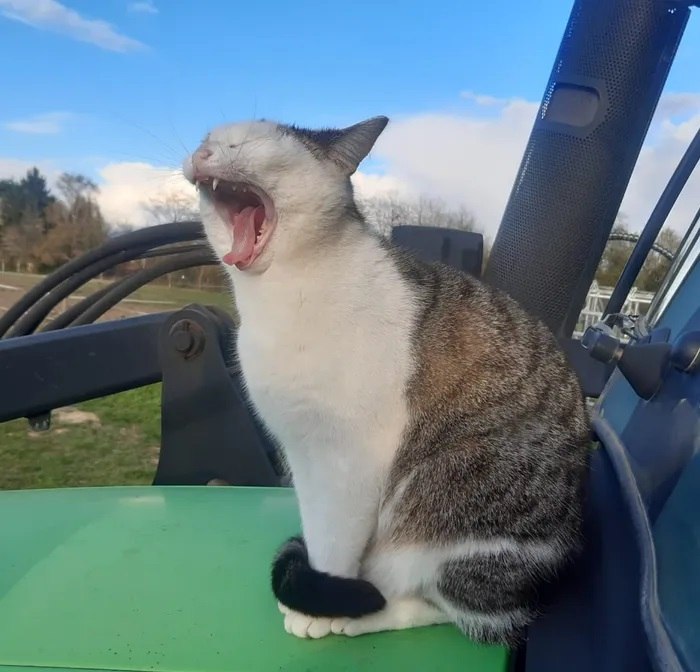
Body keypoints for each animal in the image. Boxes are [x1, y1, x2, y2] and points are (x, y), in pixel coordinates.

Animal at [182, 115, 592, 644]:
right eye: (206, 142)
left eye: (243, 144)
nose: (202, 155)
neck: (279, 295)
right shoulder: (301, 450)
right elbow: (317, 529)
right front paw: (319, 588)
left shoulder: (351, 458)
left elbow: (336, 538)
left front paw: (321, 606)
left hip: (452, 502)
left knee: (458, 609)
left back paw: (367, 613)